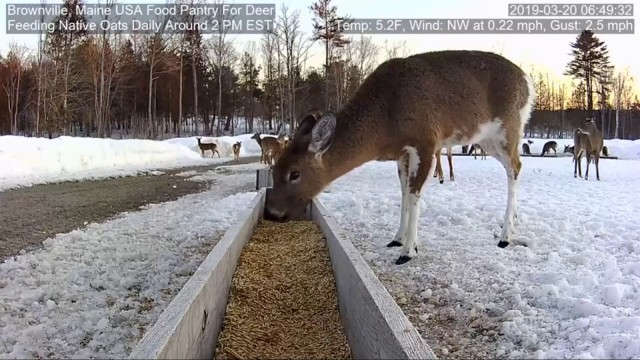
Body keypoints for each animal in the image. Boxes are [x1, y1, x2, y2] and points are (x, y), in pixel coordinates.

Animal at [262, 50, 536, 264]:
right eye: (274, 170)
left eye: (294, 174)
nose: (271, 212)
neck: (386, 121)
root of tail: (529, 83)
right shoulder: (402, 153)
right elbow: (404, 193)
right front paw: (397, 239)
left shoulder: (426, 141)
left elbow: (414, 194)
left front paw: (408, 251)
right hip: (486, 140)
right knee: (517, 165)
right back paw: (513, 222)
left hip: (507, 128)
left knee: (515, 166)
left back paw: (505, 236)